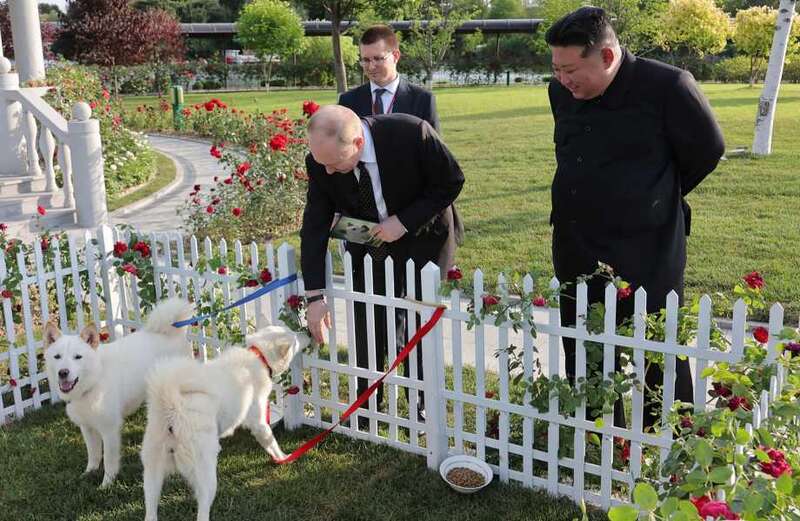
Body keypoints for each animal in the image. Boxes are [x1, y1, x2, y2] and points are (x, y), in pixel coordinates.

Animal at [43, 296, 194, 488]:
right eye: (57, 357)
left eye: (77, 357)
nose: (63, 372)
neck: (95, 379)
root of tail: (172, 332)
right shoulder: (87, 428)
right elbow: (93, 454)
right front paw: (88, 473)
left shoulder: (109, 431)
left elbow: (108, 460)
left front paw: (106, 484)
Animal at [141, 324, 310, 520]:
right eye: (295, 338)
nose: (308, 333)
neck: (258, 355)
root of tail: (171, 405)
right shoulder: (259, 423)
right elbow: (271, 443)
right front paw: (283, 457)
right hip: (206, 475)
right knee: (202, 510)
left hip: (152, 474)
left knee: (150, 512)